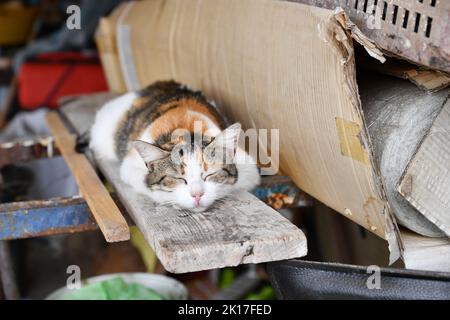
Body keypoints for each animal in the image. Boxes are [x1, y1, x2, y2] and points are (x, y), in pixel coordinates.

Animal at [90, 81, 260, 211]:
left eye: (209, 175)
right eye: (178, 178)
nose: (197, 195)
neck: (186, 129)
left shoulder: (249, 168)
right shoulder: (129, 166)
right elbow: (148, 184)